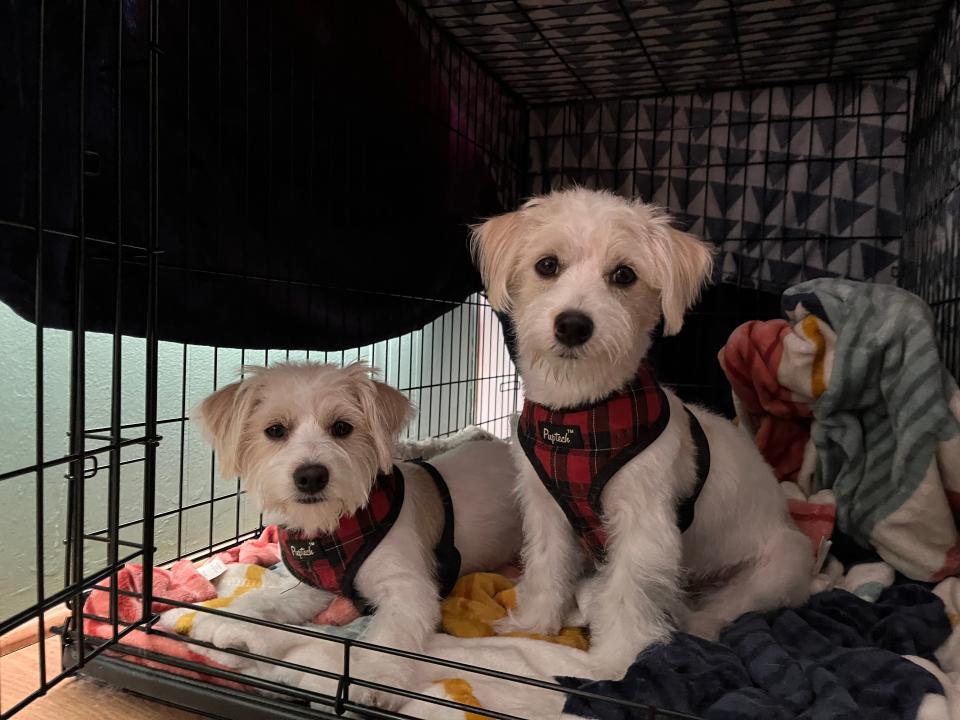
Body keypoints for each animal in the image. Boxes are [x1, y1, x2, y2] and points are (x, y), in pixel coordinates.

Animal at [468, 187, 812, 680]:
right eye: (547, 265)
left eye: (624, 275)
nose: (573, 325)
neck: (579, 413)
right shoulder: (547, 510)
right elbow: (547, 566)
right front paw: (534, 624)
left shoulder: (643, 527)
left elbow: (628, 594)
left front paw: (615, 662)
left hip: (783, 561)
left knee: (723, 611)